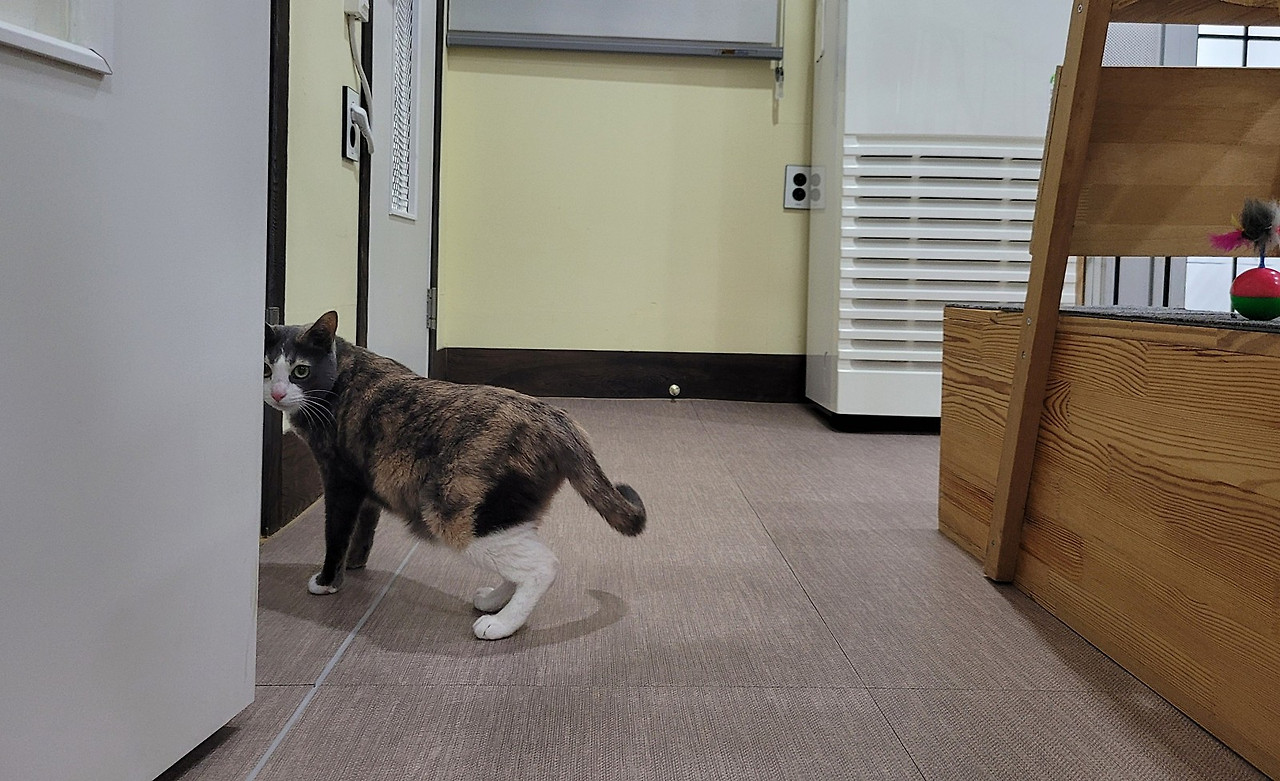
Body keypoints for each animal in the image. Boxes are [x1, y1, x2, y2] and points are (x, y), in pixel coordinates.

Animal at [264, 310, 646, 640]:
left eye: (300, 370)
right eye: (266, 367)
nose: (277, 392)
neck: (341, 374)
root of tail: (558, 419)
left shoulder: (340, 481)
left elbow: (336, 533)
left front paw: (328, 580)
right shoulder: (366, 485)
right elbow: (363, 529)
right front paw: (355, 565)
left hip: (455, 515)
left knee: (543, 566)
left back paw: (500, 624)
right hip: (503, 515)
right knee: (522, 557)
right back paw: (493, 601)